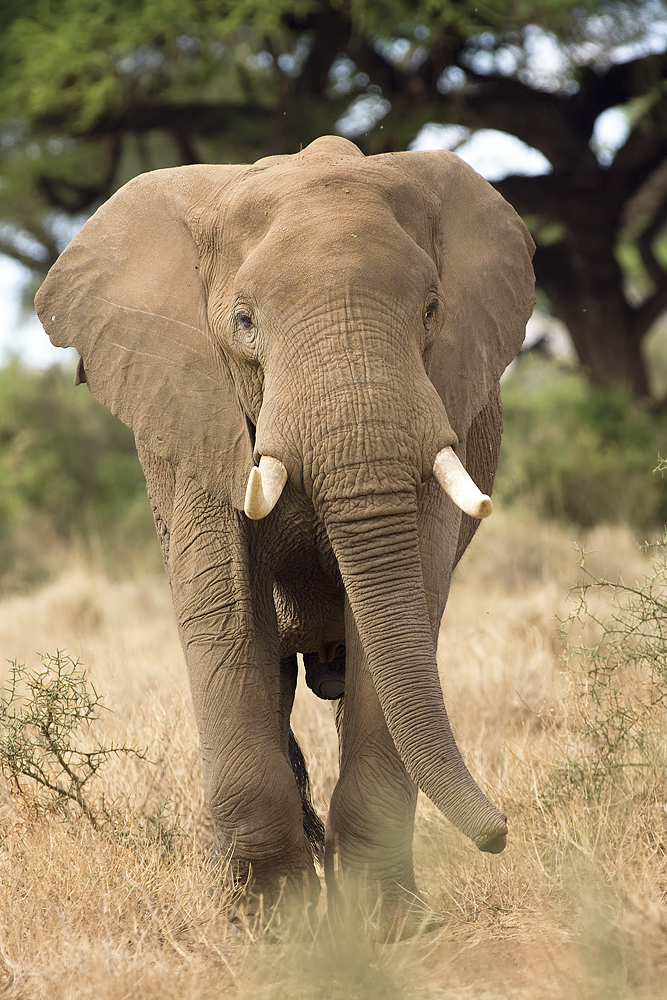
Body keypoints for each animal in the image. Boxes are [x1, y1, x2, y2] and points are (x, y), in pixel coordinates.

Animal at [36, 135, 536, 936]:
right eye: (243, 323)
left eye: (431, 309)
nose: (500, 833)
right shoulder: (195, 421)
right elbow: (223, 612)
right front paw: (269, 927)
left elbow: (402, 614)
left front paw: (382, 925)